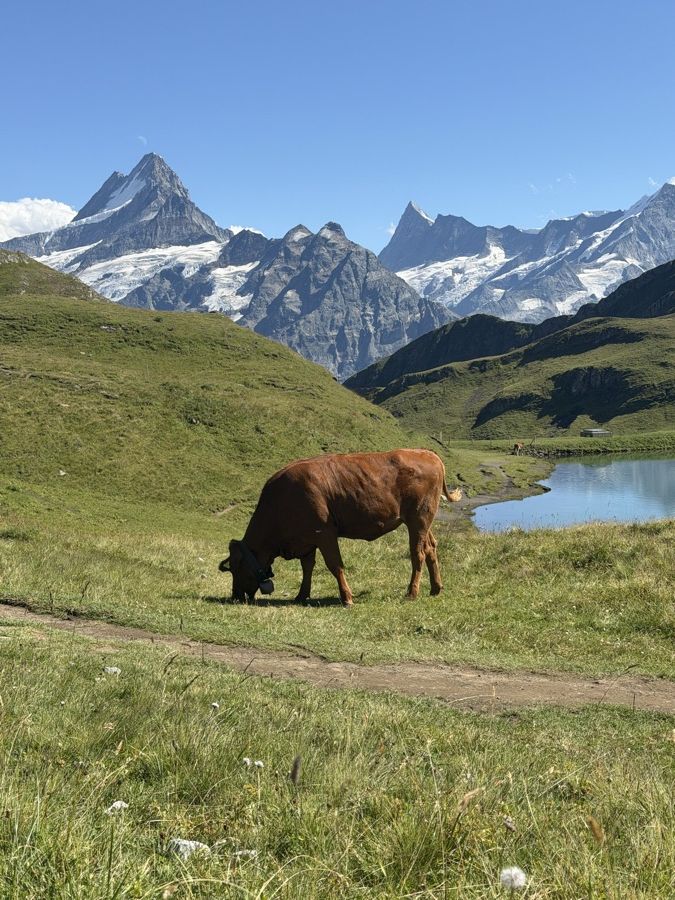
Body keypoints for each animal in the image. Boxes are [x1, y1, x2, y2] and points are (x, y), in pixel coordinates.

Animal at [219, 449, 461, 607]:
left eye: (236, 567)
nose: (235, 595)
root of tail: (427, 453)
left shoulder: (324, 534)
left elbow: (335, 565)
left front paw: (347, 598)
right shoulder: (307, 540)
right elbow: (307, 567)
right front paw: (302, 595)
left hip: (418, 520)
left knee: (418, 553)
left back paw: (412, 593)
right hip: (422, 522)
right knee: (431, 548)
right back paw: (435, 588)